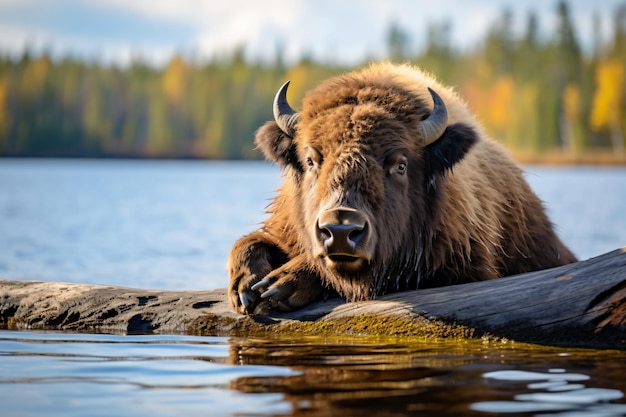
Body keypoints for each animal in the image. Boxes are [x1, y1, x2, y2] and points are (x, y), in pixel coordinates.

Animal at [225, 63, 576, 314]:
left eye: (400, 164)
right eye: (311, 160)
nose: (340, 231)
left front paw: (280, 286)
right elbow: (248, 243)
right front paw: (246, 289)